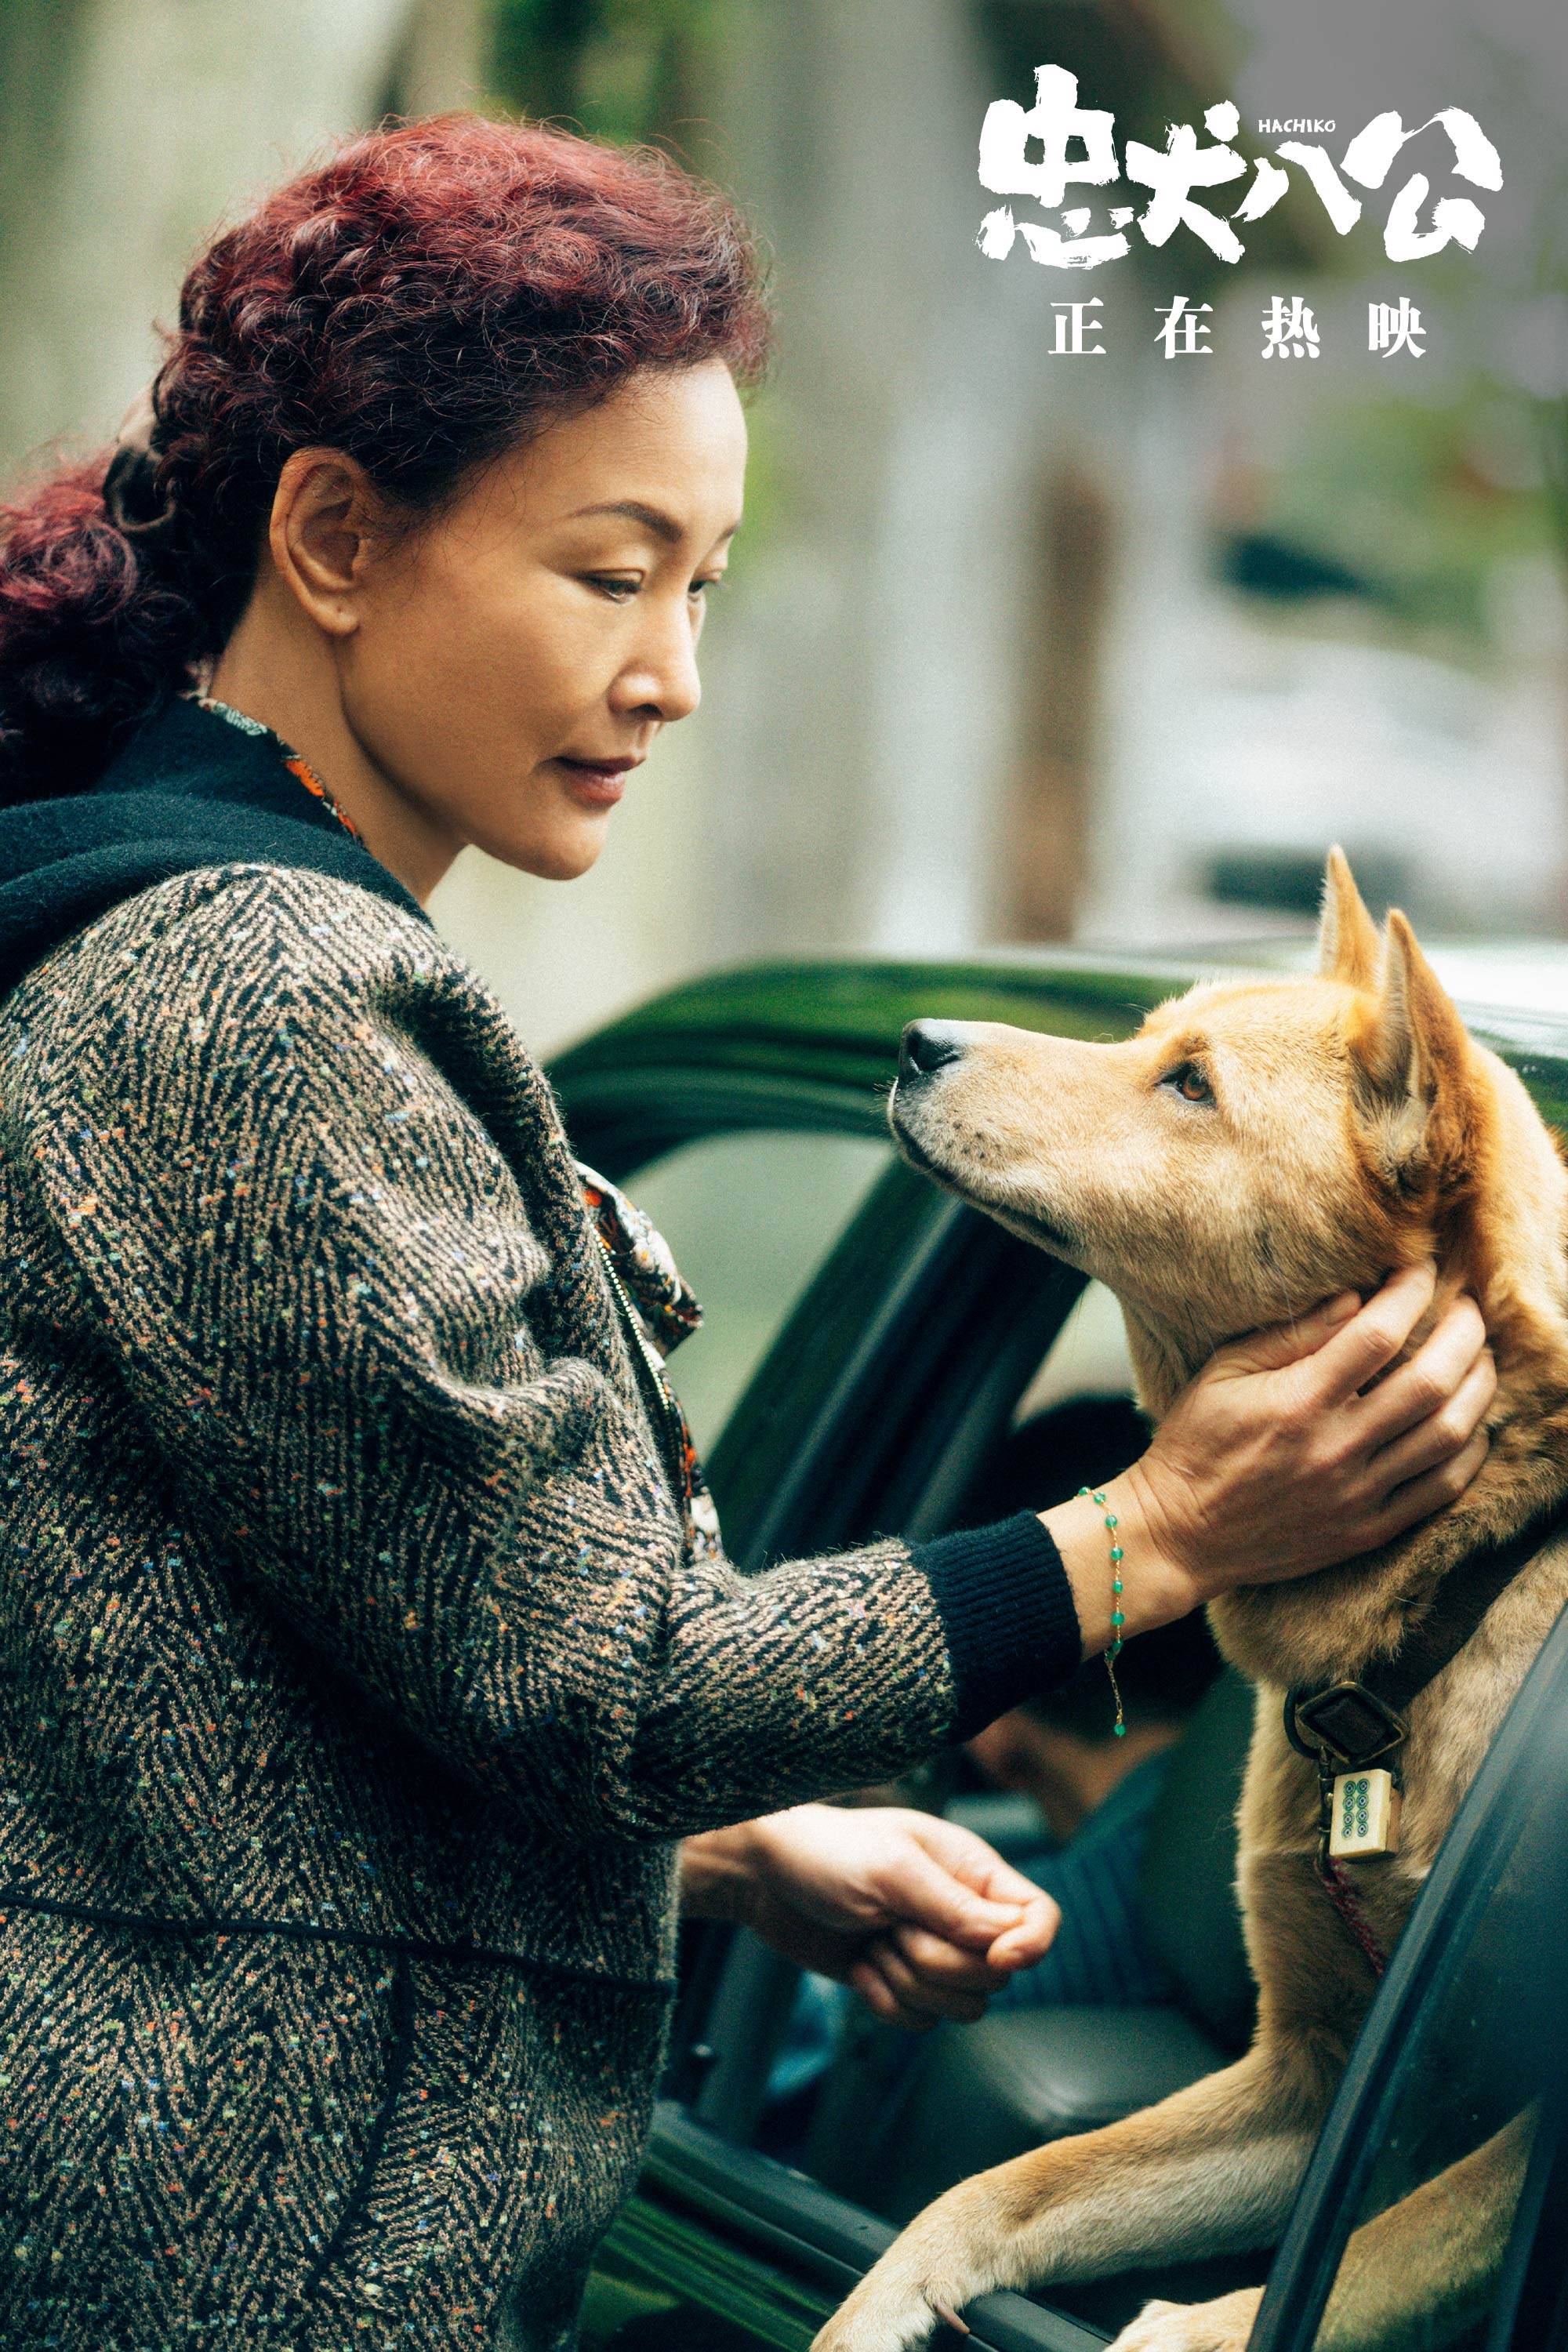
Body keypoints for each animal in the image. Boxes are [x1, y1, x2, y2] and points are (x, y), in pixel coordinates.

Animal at [818, 856, 1561, 2352]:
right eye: (1152, 1043)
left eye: (1191, 1085)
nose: (919, 1040)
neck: (1451, 1601)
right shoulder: (1306, 2081)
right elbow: (994, 2191)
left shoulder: (1492, 2146)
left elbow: (1276, 2297)